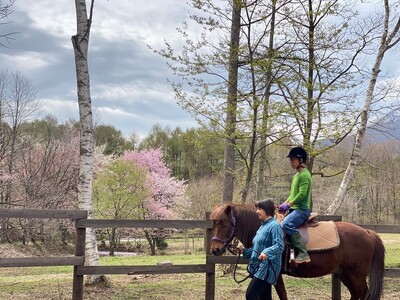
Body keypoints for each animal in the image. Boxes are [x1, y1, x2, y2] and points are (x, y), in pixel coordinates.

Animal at [211, 203, 386, 298]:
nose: (215, 250)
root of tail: (367, 233)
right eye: (213, 223)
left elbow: (283, 295)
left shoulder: (275, 275)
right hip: (345, 274)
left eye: (224, 223)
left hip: (357, 275)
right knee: (355, 295)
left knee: (362, 294)